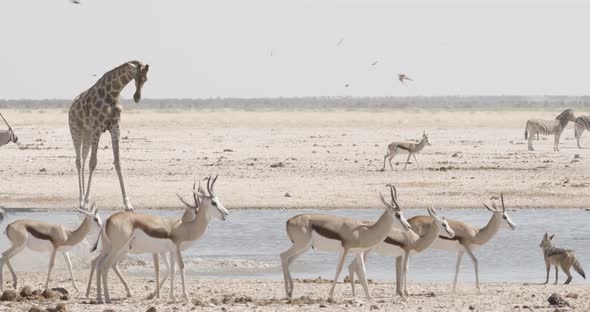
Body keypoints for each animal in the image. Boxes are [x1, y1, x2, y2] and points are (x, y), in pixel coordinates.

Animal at [69, 59, 150, 211]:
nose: (137, 97)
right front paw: (87, 202)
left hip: (87, 132)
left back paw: (82, 201)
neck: (112, 93)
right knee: (79, 161)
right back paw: (81, 201)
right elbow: (93, 162)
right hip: (76, 129)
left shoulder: (115, 128)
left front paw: (128, 204)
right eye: (135, 76)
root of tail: (71, 106)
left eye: (146, 79)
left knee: (83, 159)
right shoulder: (97, 128)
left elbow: (118, 162)